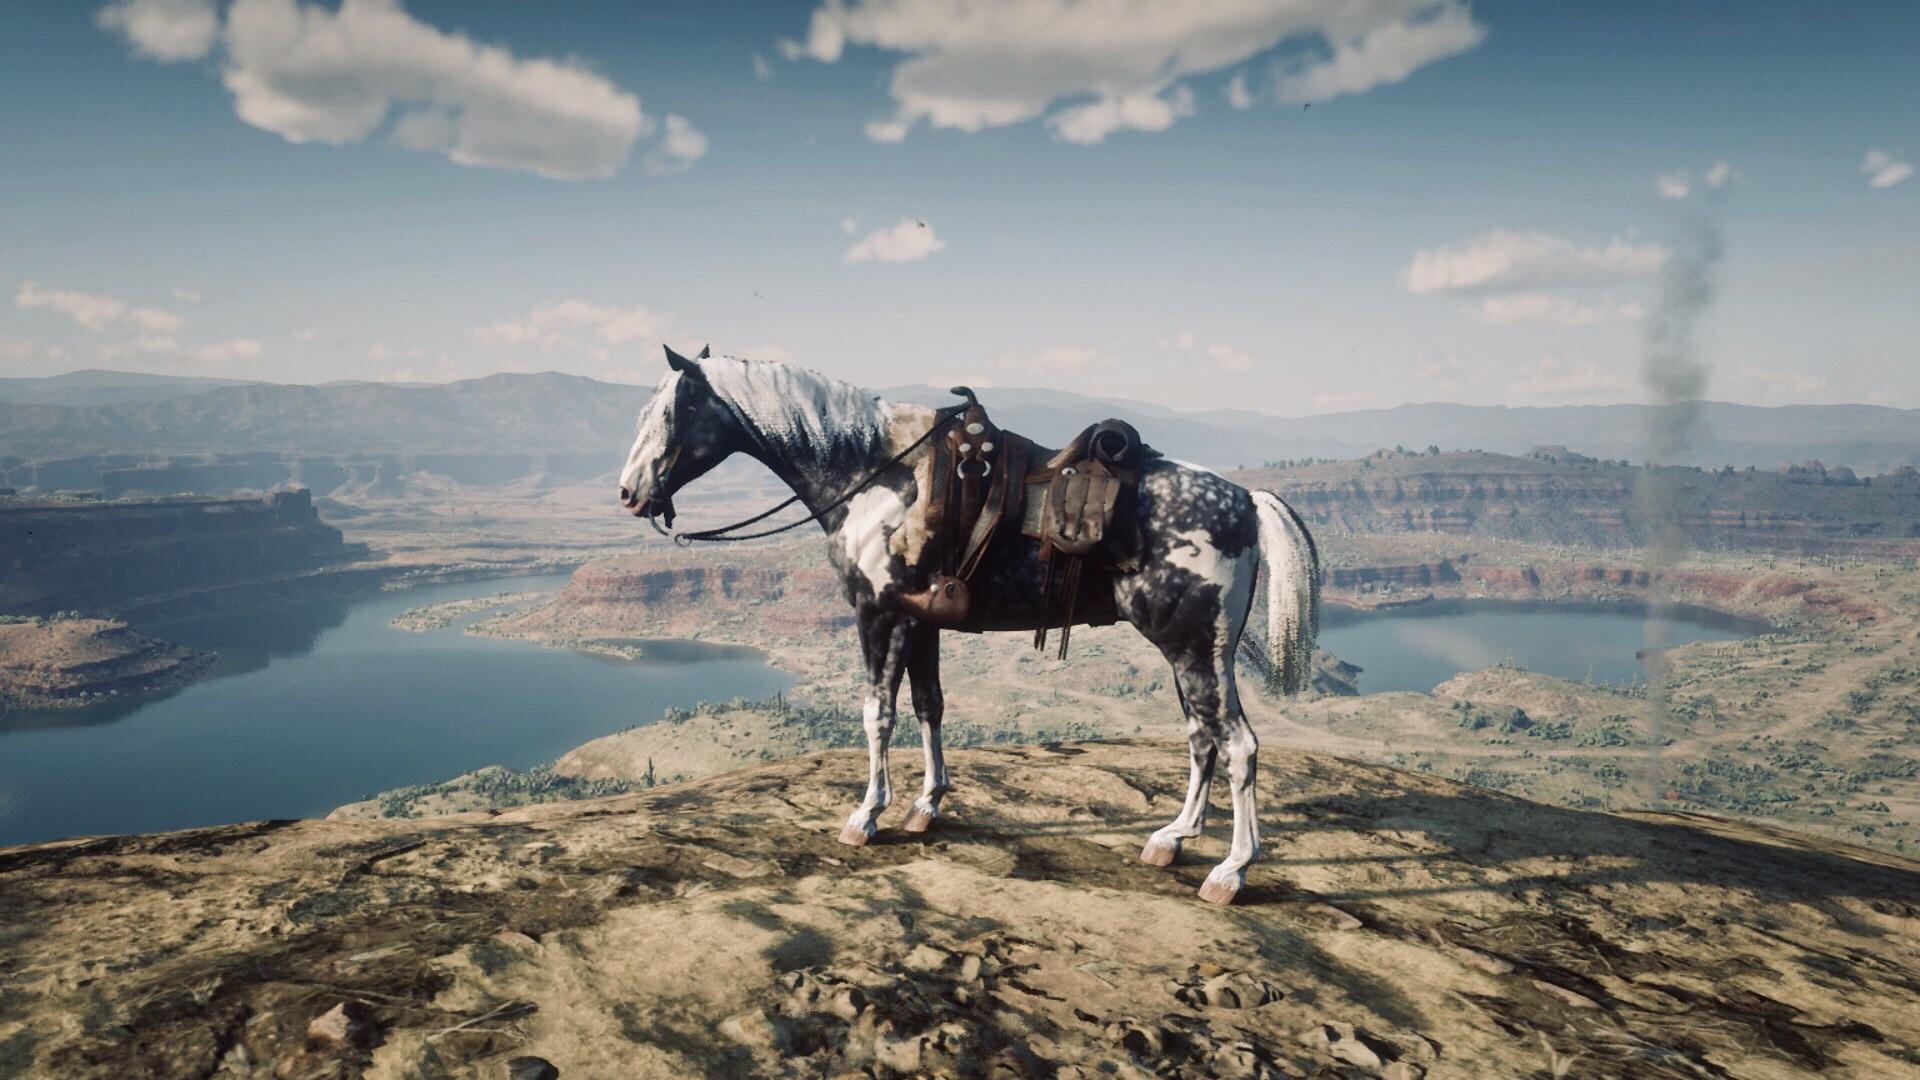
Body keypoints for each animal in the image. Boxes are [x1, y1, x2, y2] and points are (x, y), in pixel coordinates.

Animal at [617, 347, 1320, 905]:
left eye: (670, 413)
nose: (627, 493)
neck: (878, 476)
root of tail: (1246, 500)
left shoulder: (879, 612)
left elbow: (877, 714)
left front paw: (866, 815)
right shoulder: (921, 619)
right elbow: (929, 705)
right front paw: (927, 805)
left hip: (1194, 647)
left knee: (1237, 746)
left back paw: (1230, 870)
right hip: (1189, 652)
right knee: (1202, 739)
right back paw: (1173, 838)